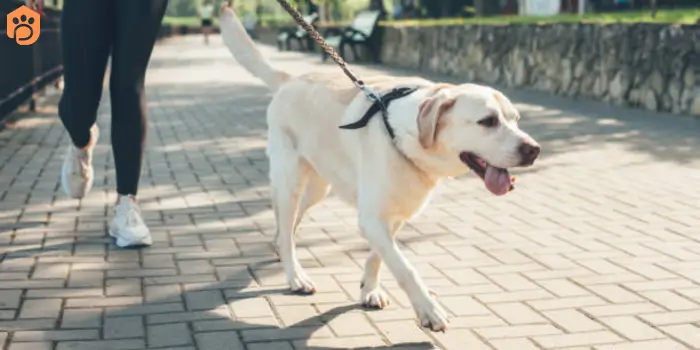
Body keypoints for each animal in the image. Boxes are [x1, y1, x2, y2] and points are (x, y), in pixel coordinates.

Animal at [219, 6, 540, 334]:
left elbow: (380, 256)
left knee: (289, 225)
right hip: (290, 180)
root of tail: (289, 79)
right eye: (487, 121)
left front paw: (369, 289)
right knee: (286, 225)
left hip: (319, 187)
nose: (533, 149)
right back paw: (295, 274)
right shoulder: (373, 217)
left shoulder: (394, 214)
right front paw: (428, 309)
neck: (405, 136)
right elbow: (405, 267)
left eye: (516, 119)